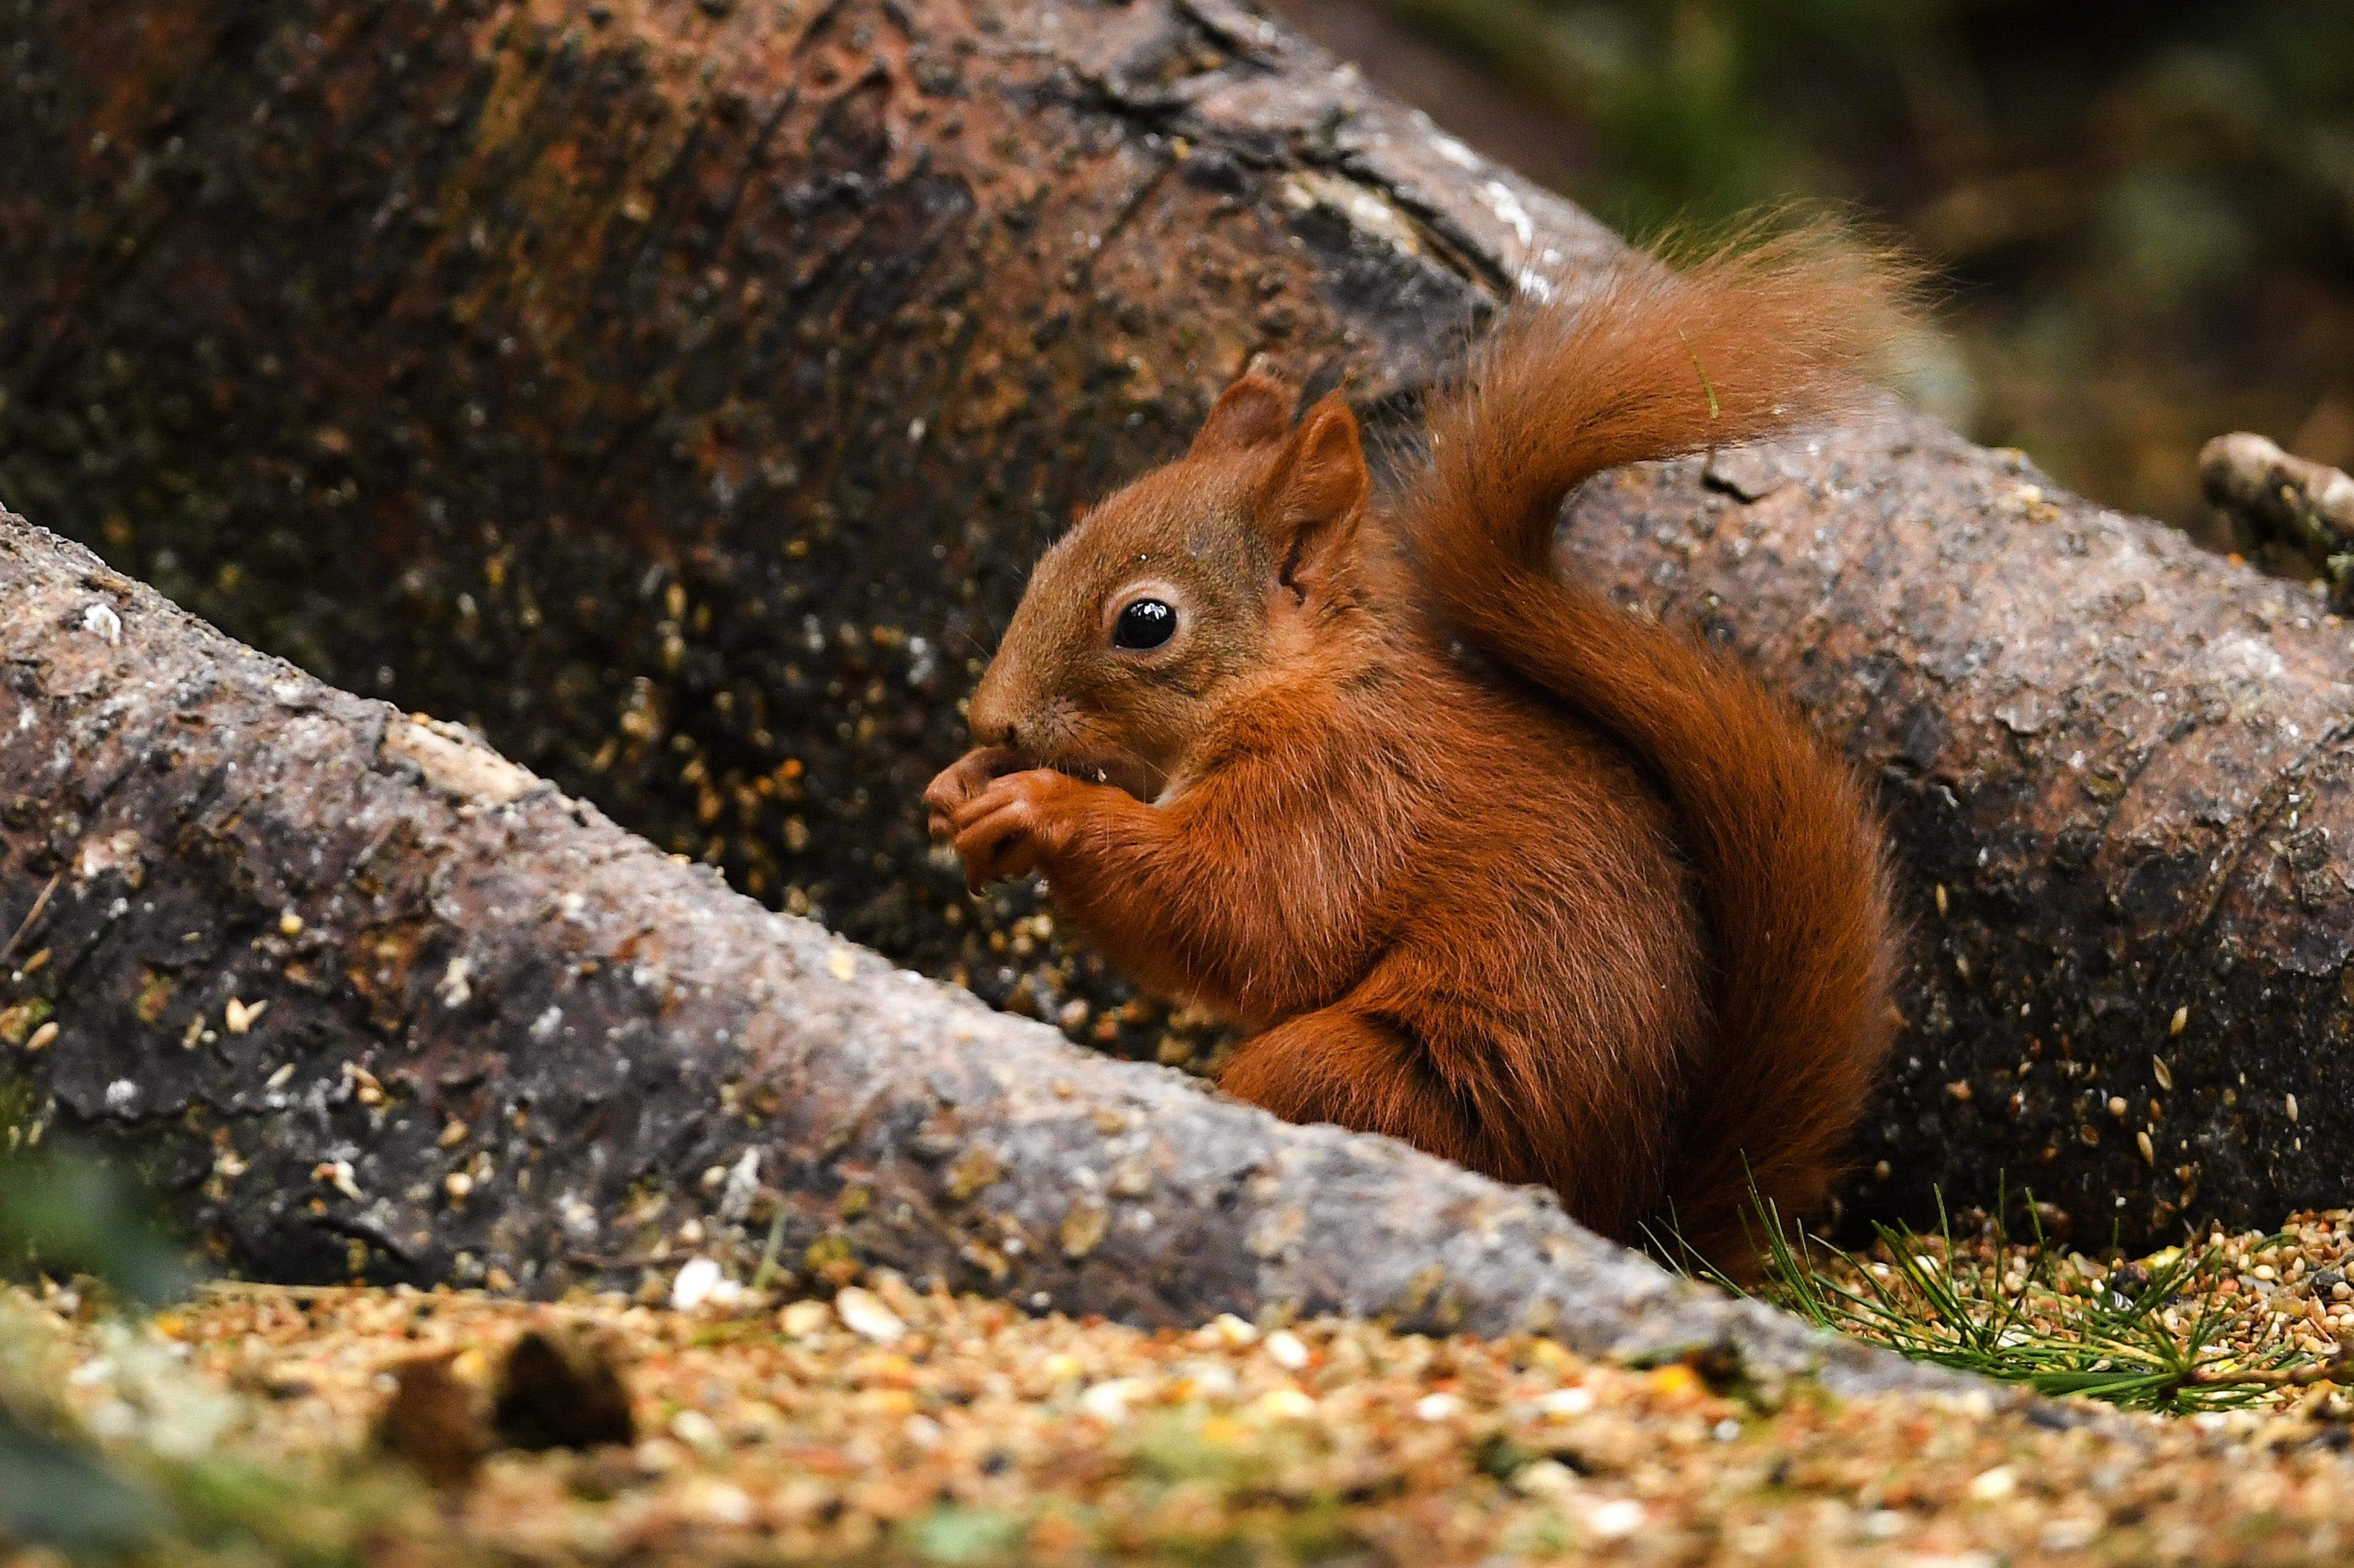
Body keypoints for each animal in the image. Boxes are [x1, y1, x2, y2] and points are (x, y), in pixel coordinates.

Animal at [927, 226, 1902, 1271]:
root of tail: (1633, 1220)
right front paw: (958, 787)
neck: (1310, 685)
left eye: (1147, 622)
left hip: (1379, 1079)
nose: (991, 720)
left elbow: (1250, 920)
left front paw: (1041, 806)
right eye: (1049, 557)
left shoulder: (1345, 795)